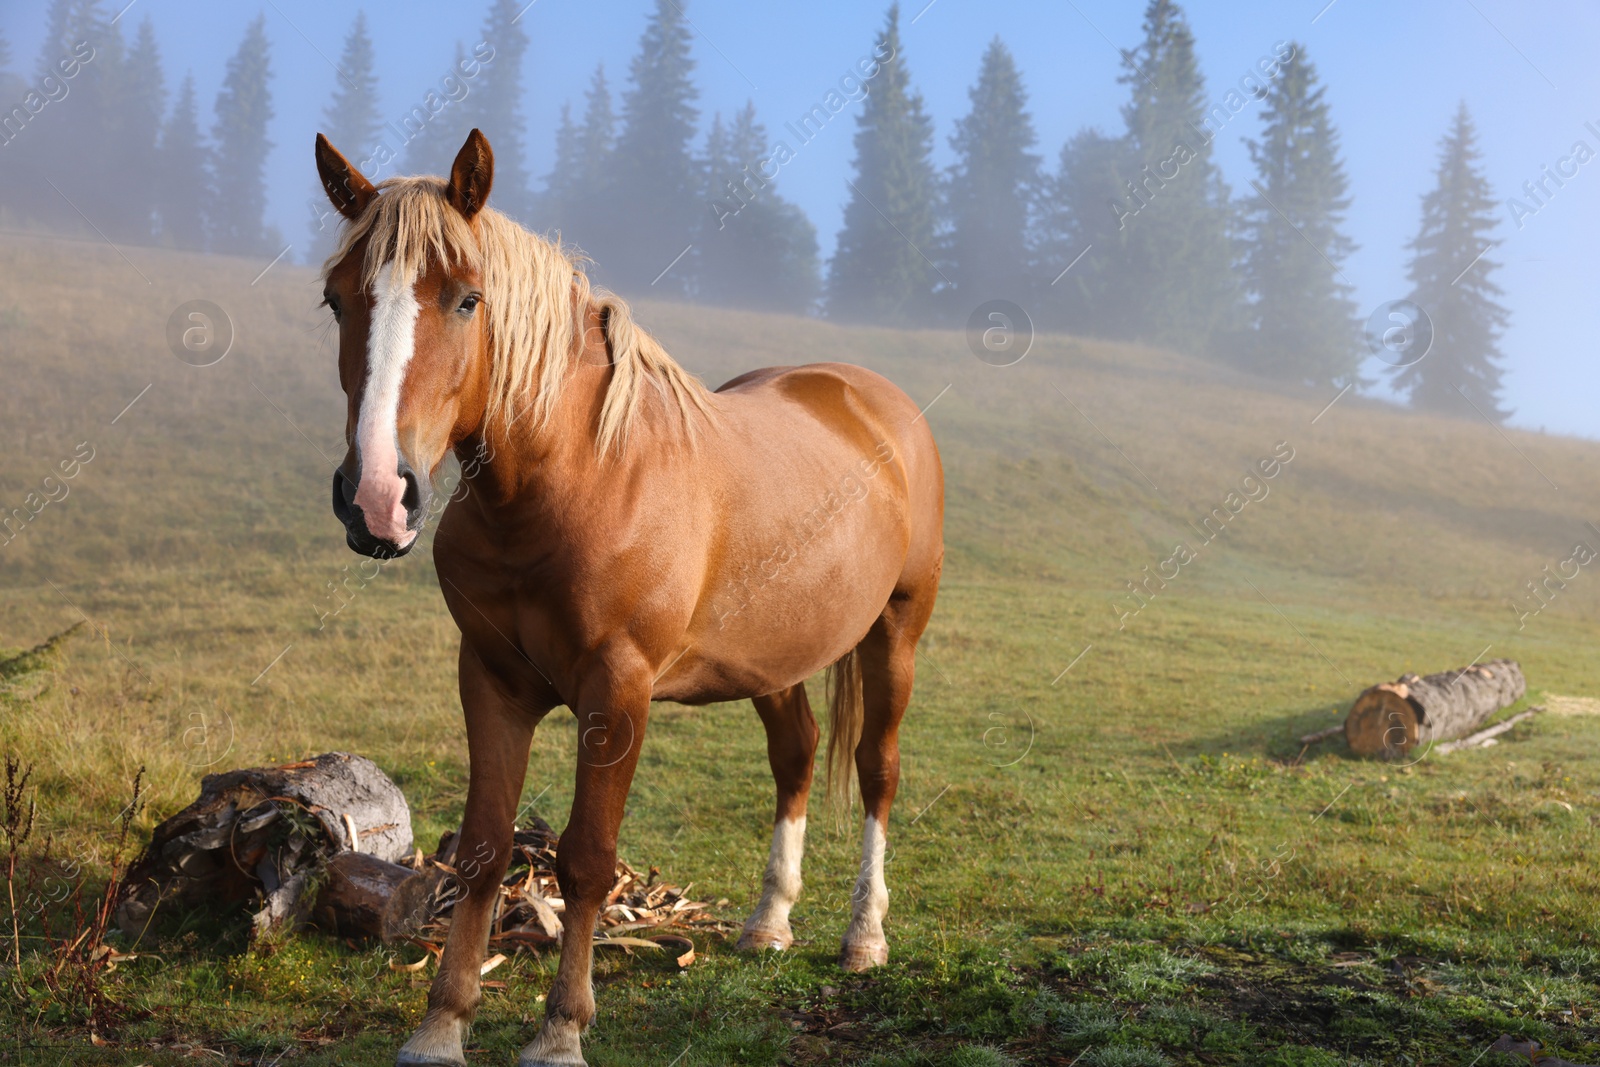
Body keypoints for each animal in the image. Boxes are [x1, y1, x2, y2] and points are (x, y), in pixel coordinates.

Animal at [312, 131, 940, 1067]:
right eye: (336, 299)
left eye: (467, 299)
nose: (378, 497)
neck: (574, 476)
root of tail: (873, 398)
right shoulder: (489, 679)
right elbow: (486, 847)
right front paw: (442, 1024)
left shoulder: (618, 691)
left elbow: (586, 859)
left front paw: (561, 1029)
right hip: (774, 657)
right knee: (795, 756)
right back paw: (768, 922)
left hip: (895, 633)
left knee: (876, 768)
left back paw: (864, 936)